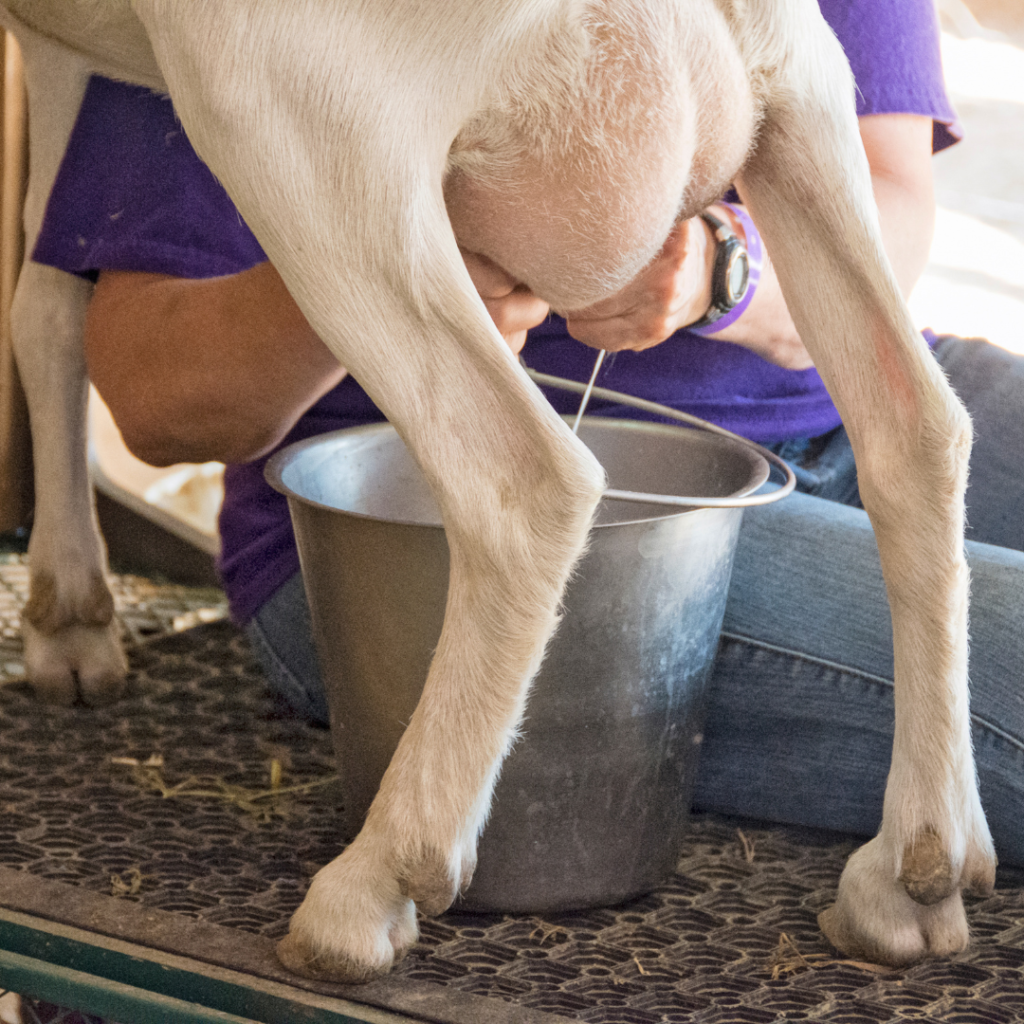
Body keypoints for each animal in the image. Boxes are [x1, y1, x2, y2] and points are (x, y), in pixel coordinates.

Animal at [0, 0, 991, 983]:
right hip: (802, 91)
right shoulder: (57, 48)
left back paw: (372, 886)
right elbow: (46, 299)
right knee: (917, 429)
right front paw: (71, 619)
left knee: (523, 479)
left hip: (296, 114)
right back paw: (918, 870)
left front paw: (64, 612)